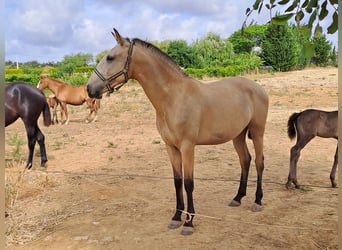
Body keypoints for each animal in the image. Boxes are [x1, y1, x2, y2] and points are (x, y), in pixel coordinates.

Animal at [86, 28, 270, 234]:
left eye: (110, 58)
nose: (89, 88)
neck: (173, 97)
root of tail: (258, 88)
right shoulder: (171, 147)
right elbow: (177, 181)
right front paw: (176, 217)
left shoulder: (187, 147)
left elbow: (189, 183)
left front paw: (189, 222)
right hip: (237, 135)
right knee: (245, 160)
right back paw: (237, 198)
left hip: (258, 132)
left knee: (259, 162)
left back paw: (257, 201)